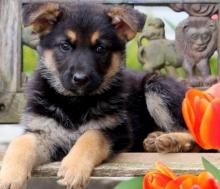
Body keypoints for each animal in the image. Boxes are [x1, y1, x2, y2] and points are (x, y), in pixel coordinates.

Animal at [0, 2, 197, 189]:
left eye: (100, 48)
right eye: (65, 46)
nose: (80, 79)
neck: (75, 103)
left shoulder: (118, 131)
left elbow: (92, 135)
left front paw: (74, 167)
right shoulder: (44, 132)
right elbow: (21, 142)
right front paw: (9, 174)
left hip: (157, 86)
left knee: (195, 137)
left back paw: (170, 139)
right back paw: (155, 138)